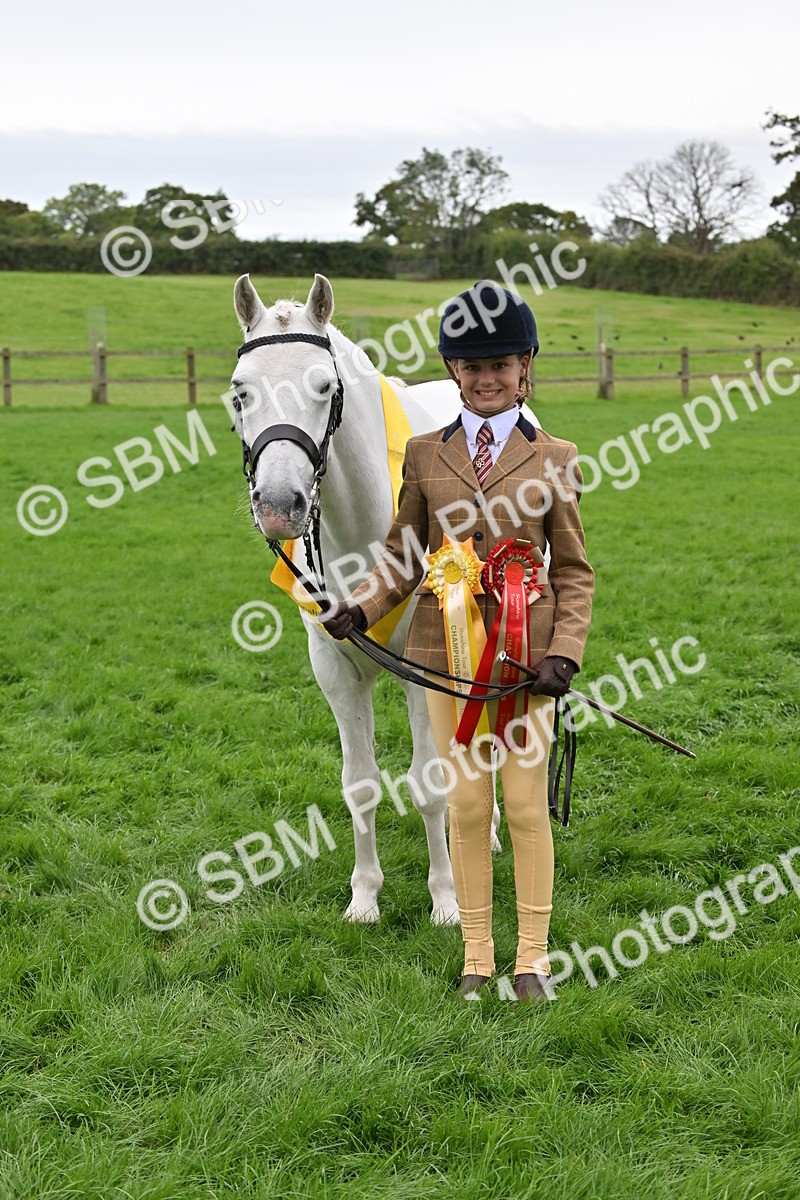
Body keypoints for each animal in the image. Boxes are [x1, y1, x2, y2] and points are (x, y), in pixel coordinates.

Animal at [229, 273, 504, 926]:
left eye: (324, 386)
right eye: (240, 392)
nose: (279, 504)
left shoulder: (424, 668)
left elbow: (428, 783)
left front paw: (446, 901)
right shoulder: (336, 670)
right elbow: (360, 784)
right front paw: (365, 896)